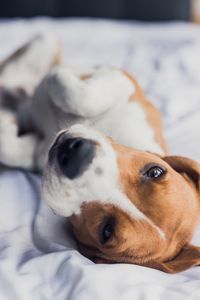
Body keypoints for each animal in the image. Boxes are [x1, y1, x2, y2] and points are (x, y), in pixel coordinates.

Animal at [0, 34, 200, 272]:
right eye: (155, 171)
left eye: (106, 231)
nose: (76, 156)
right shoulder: (125, 82)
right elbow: (81, 96)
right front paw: (61, 76)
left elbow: (11, 148)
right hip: (45, 40)